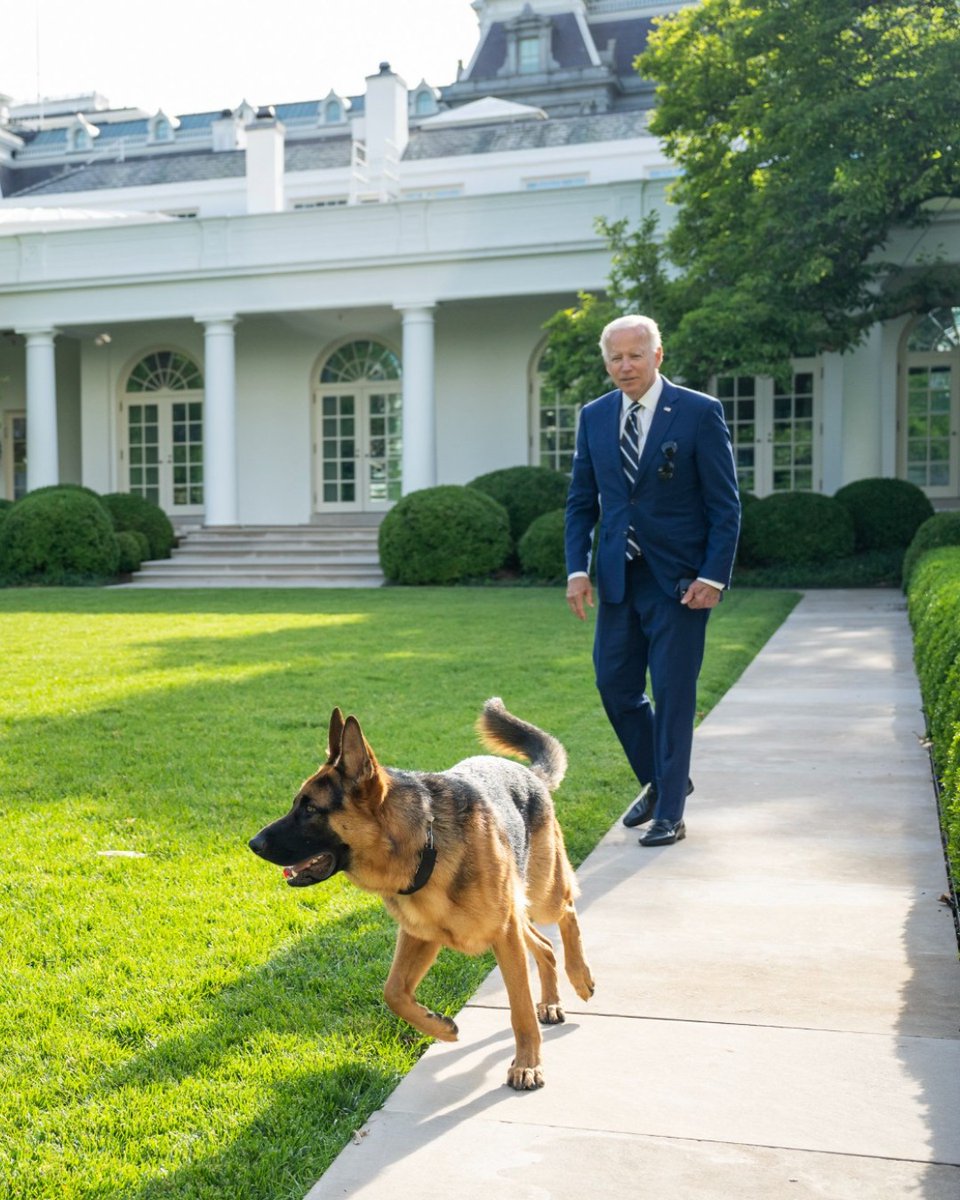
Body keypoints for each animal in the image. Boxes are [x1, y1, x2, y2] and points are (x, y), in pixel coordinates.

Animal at [249, 700, 592, 1094]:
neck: (422, 846)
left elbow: (519, 1010)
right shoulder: (421, 937)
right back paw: (550, 1002)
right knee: (545, 946)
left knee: (567, 911)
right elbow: (393, 992)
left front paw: (527, 1065)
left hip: (541, 894)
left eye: (309, 809)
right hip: (517, 917)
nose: (253, 844)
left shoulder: (504, 936)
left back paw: (580, 977)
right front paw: (440, 1027)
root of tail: (529, 774)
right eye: (296, 804)